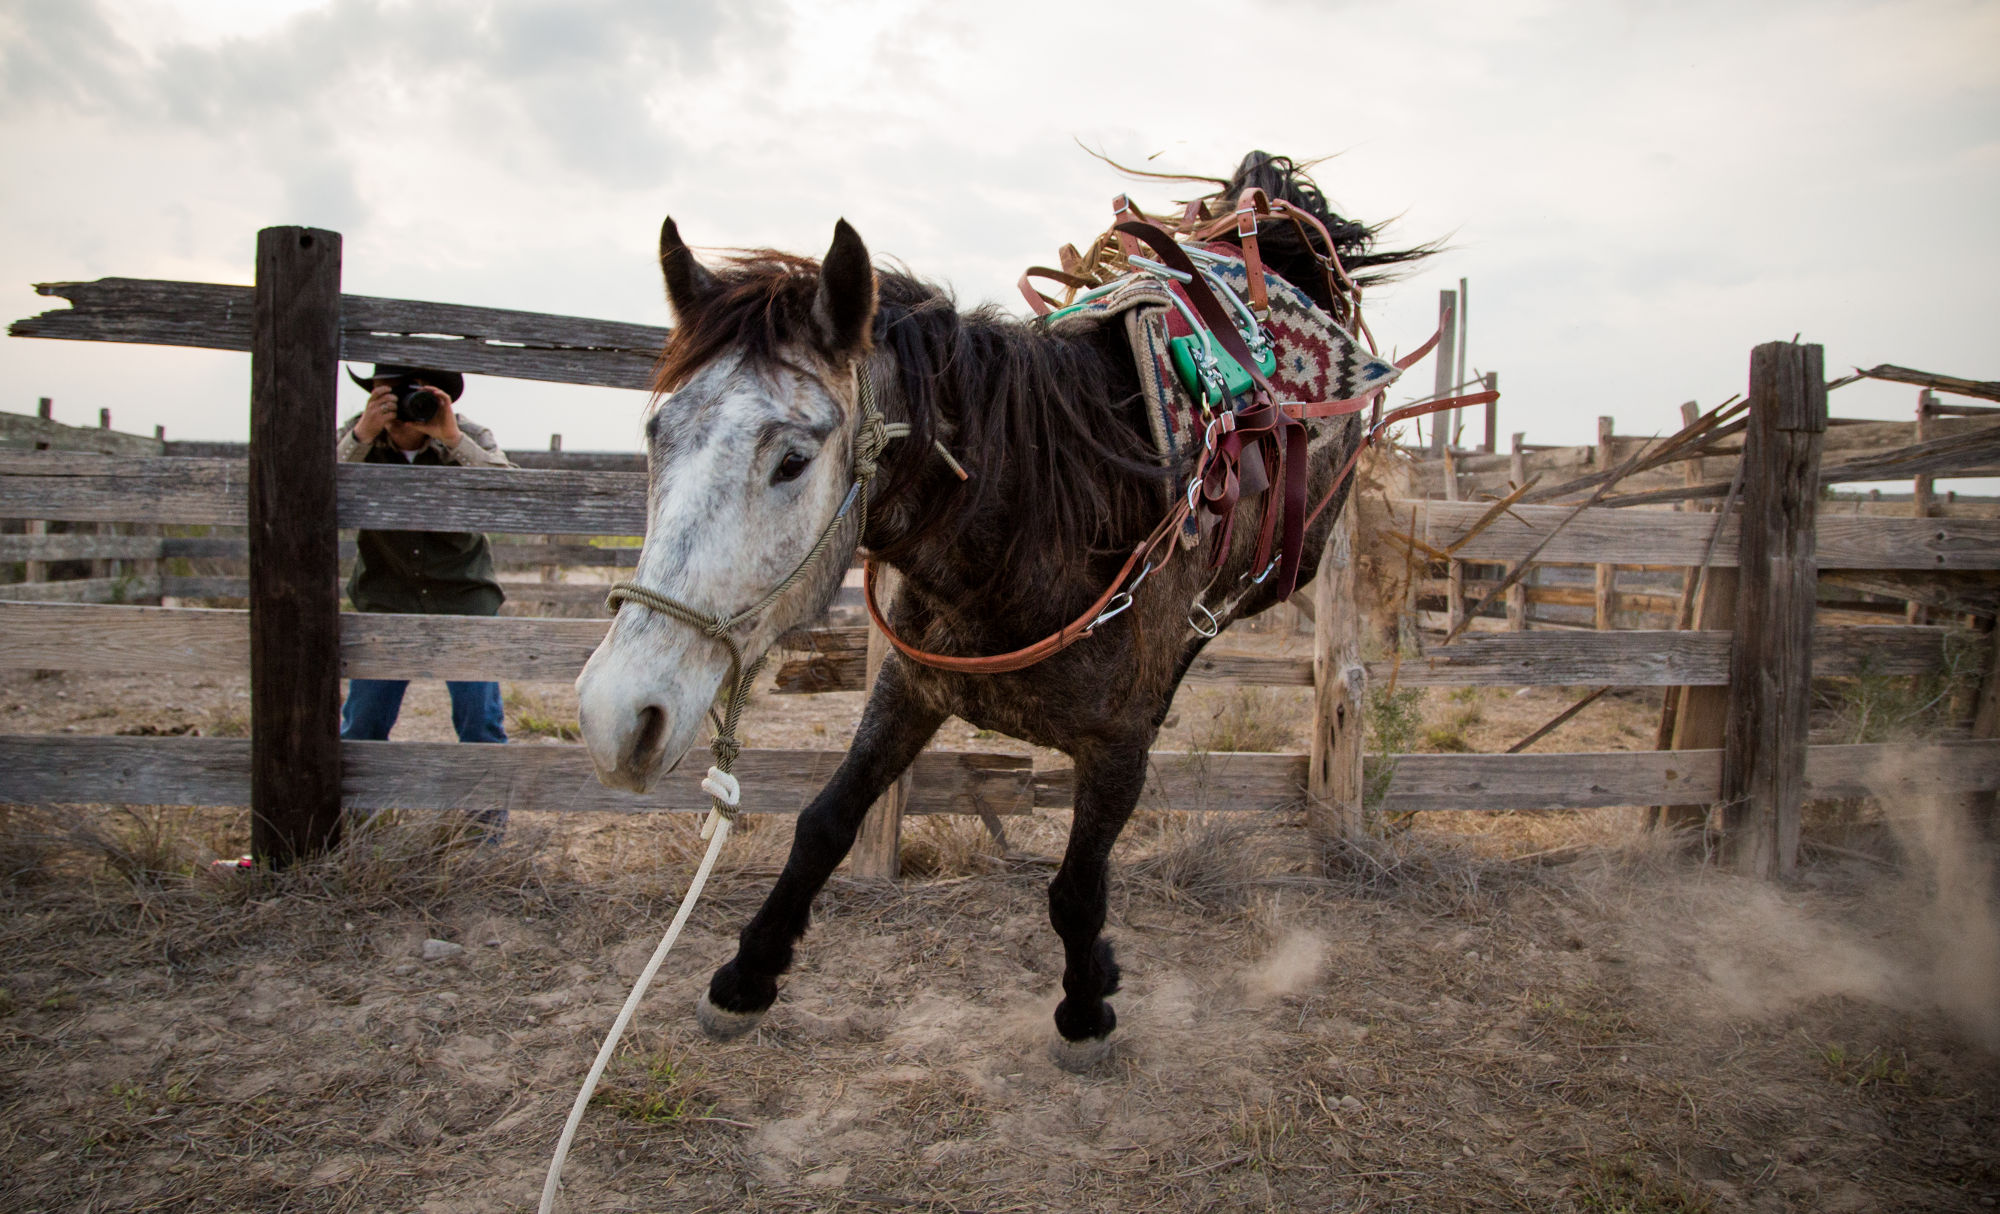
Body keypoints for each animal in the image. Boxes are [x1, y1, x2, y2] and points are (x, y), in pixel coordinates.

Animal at [572, 152, 1432, 1072]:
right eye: (657, 434)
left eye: (793, 460)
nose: (616, 716)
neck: (1047, 513)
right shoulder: (909, 689)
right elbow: (824, 824)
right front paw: (746, 977)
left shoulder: (1119, 748)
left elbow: (1077, 890)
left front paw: (1085, 1008)